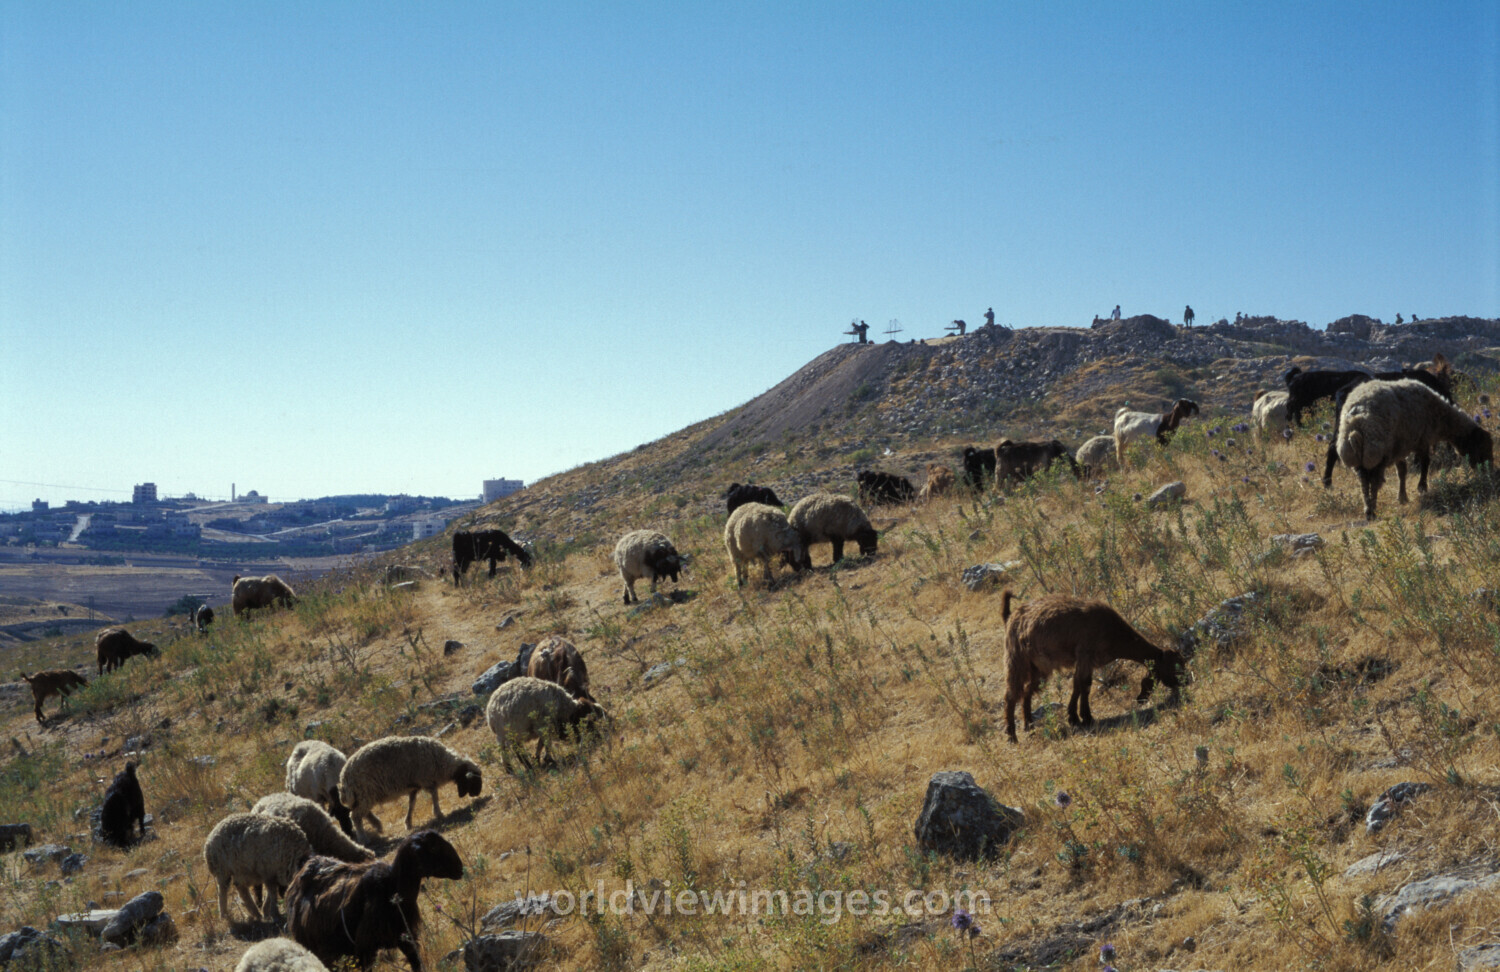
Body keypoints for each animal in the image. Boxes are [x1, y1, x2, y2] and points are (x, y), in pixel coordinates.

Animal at [286, 829, 464, 972]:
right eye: (433, 847)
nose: (460, 869)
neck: (391, 887)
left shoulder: (406, 939)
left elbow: (417, 964)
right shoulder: (366, 950)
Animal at [337, 737, 483, 838]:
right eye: (474, 781)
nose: (477, 794)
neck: (442, 762)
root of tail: (344, 778)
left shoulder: (414, 787)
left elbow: (411, 804)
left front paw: (408, 823)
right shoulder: (426, 780)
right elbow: (434, 796)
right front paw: (439, 813)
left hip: (363, 796)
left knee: (363, 813)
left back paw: (377, 825)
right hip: (365, 793)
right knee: (356, 816)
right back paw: (363, 838)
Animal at [1001, 590, 1185, 744]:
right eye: (1174, 667)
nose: (1186, 682)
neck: (1113, 631)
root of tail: (1011, 617)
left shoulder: (1087, 660)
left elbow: (1081, 685)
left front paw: (1077, 717)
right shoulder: (1085, 654)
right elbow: (1083, 684)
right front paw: (1083, 717)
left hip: (1038, 668)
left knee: (1026, 692)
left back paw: (1029, 725)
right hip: (1017, 659)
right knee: (1011, 695)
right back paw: (1012, 736)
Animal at [1336, 378, 1494, 519]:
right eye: (1483, 449)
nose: (1490, 471)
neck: (1442, 417)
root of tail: (1356, 430)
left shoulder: (1399, 448)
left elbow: (1402, 471)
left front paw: (1402, 497)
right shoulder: (1422, 439)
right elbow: (1425, 463)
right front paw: (1422, 487)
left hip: (1359, 459)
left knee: (1363, 483)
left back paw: (1368, 508)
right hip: (1377, 454)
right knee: (1374, 483)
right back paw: (1372, 511)